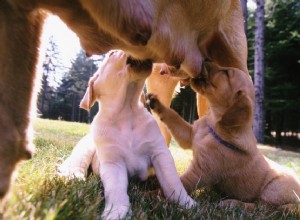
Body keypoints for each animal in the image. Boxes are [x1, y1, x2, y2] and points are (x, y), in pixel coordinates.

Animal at [148, 61, 300, 210]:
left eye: (226, 73)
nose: (205, 60)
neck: (214, 124)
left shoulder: (200, 172)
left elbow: (175, 185)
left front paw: (150, 195)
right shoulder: (190, 135)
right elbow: (173, 117)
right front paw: (156, 103)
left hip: (275, 188)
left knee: (262, 207)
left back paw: (231, 203)